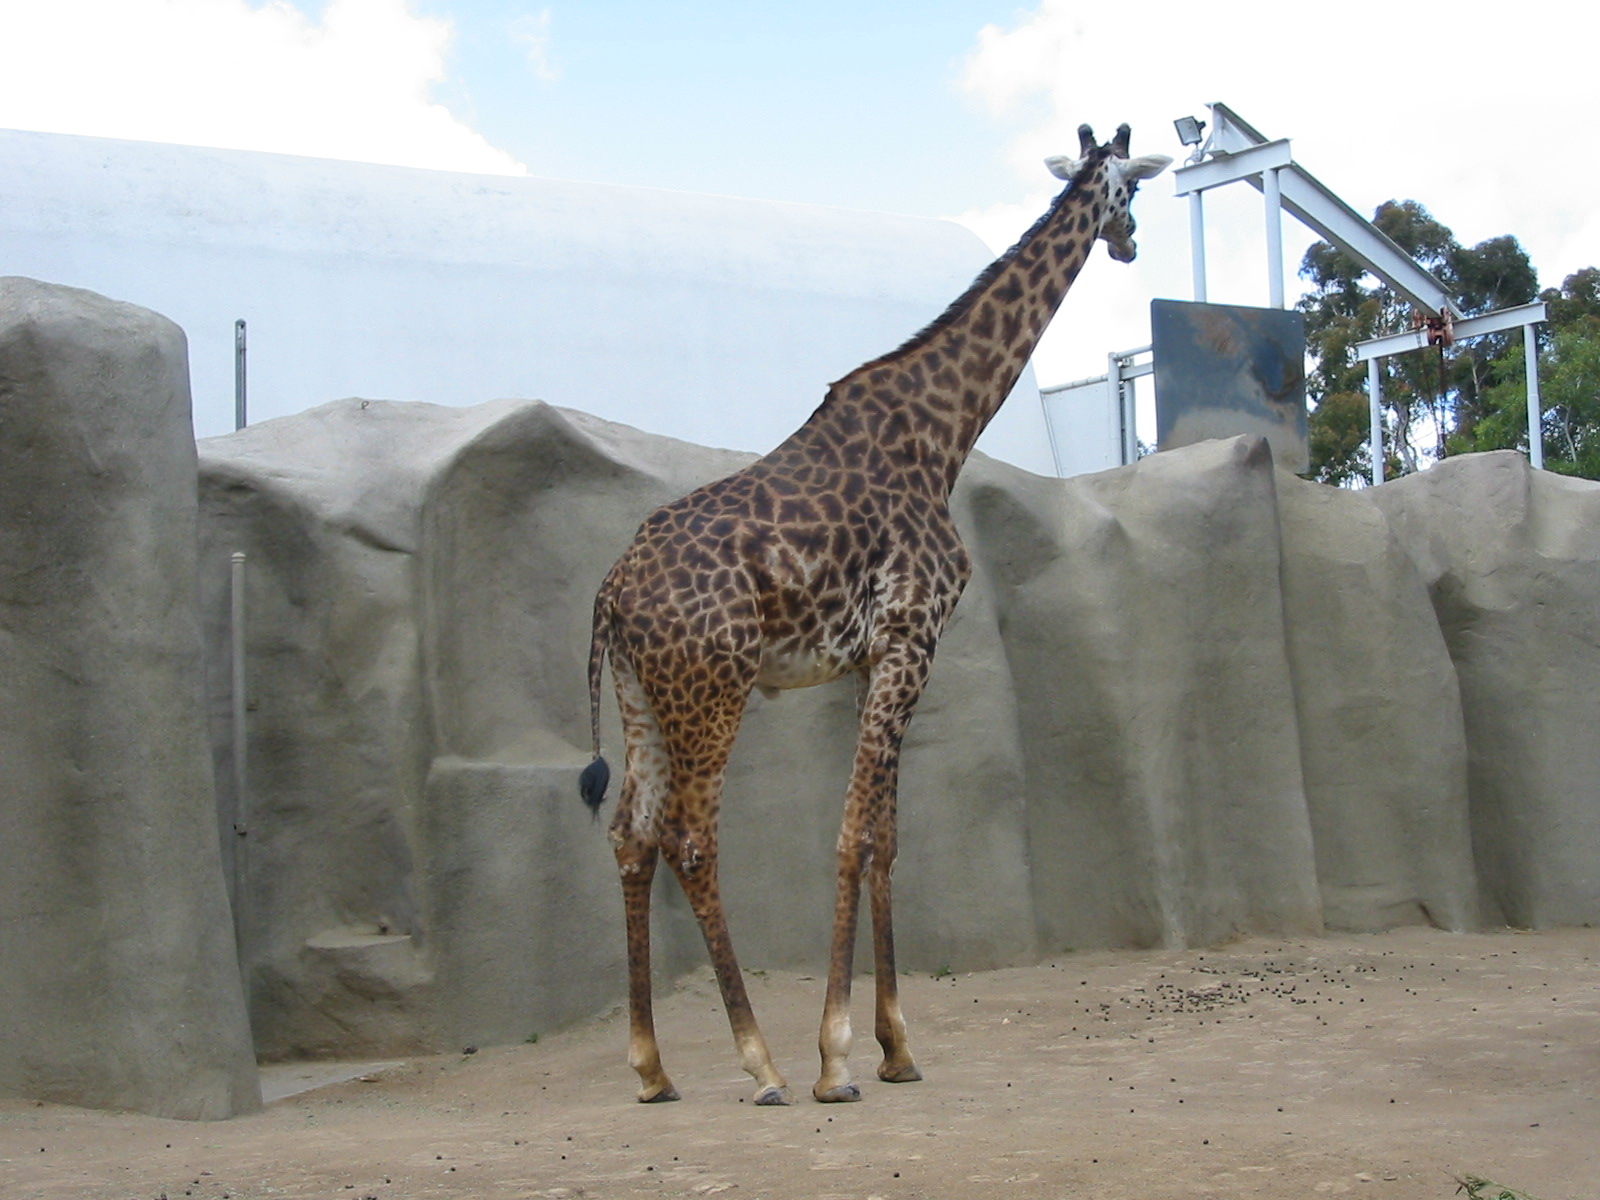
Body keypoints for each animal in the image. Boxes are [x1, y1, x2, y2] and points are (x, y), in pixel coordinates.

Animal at [579, 123, 1169, 1105]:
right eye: (1132, 189)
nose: (1127, 244)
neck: (944, 432)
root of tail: (612, 592)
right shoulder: (909, 639)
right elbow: (857, 838)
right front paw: (838, 1057)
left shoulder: (869, 660)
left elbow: (886, 840)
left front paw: (897, 1047)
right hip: (712, 690)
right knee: (691, 841)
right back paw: (761, 1064)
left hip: (640, 696)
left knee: (630, 837)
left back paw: (653, 1069)